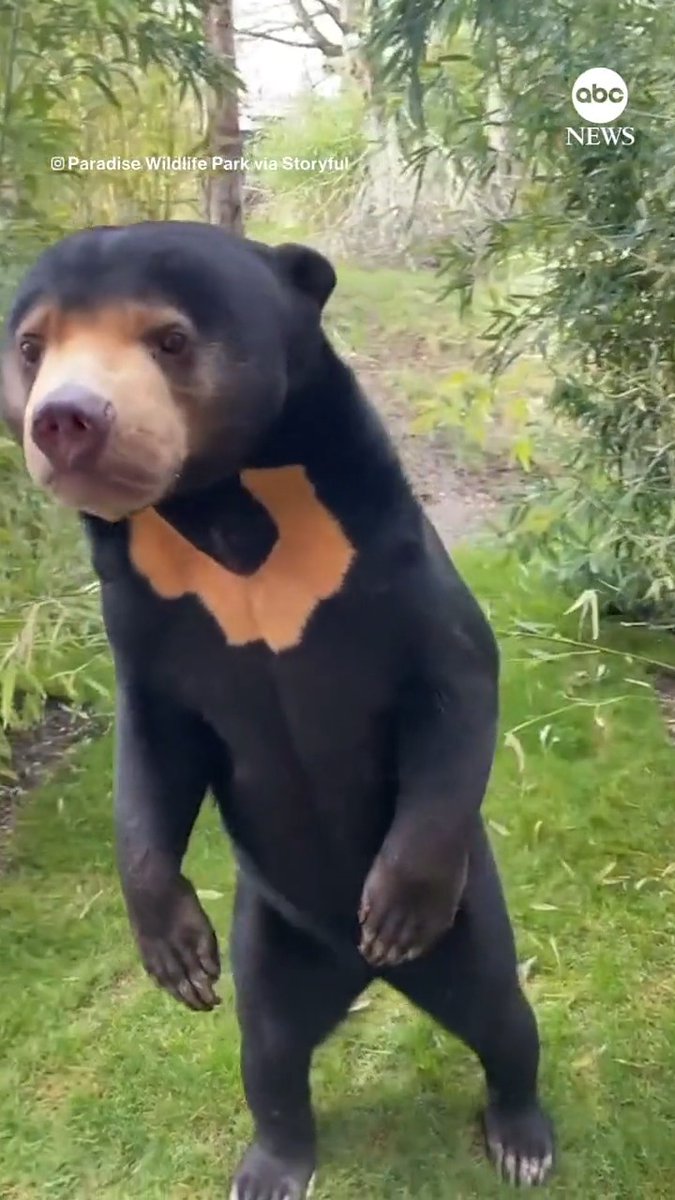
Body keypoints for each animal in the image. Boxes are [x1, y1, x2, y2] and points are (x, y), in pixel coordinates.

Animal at [1, 222, 555, 1197]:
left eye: (170, 339)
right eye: (32, 347)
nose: (64, 418)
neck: (219, 508)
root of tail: (353, 975)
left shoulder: (385, 556)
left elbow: (455, 685)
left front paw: (395, 905)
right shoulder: (143, 618)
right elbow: (152, 754)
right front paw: (175, 955)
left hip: (471, 927)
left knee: (501, 1017)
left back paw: (519, 1137)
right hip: (267, 940)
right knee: (267, 1053)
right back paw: (271, 1163)